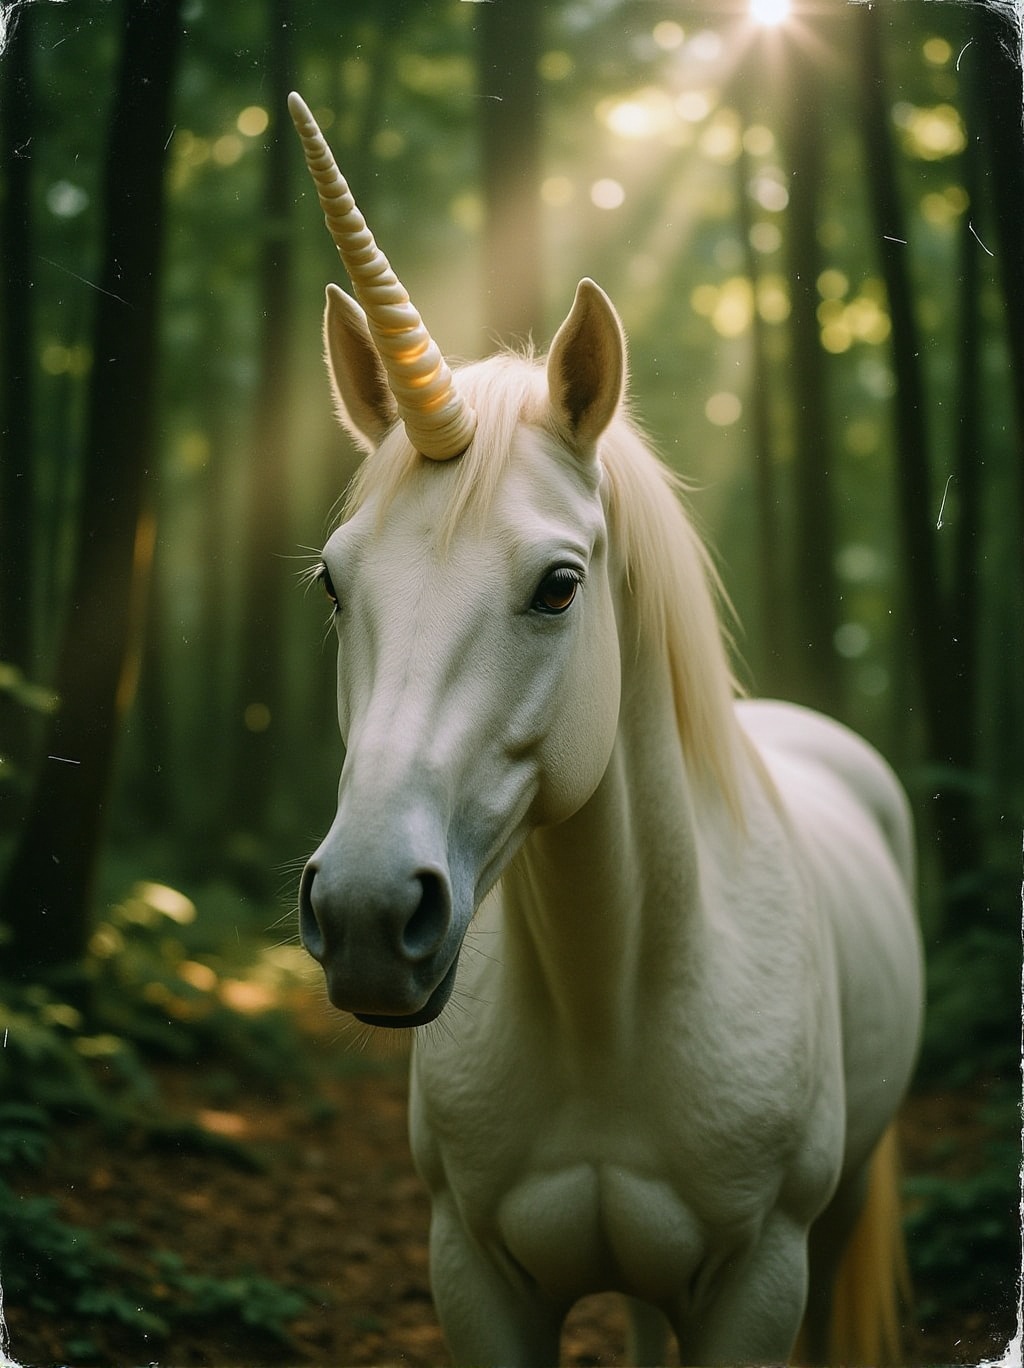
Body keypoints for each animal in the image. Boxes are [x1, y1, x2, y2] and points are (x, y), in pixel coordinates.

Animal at [287, 91, 924, 1365]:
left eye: (557, 586)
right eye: (334, 584)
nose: (369, 912)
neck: (610, 1001)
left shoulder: (761, 1280)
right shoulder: (474, 1273)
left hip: (840, 1217)